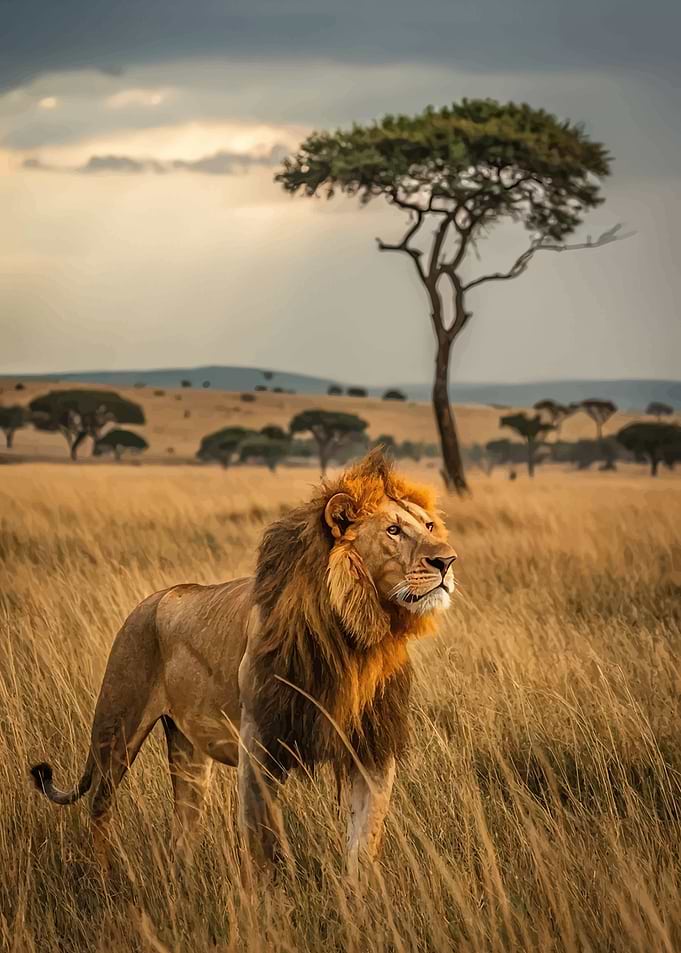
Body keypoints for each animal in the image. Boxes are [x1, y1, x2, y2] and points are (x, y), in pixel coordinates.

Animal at [30, 450, 457, 877]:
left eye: (429, 525)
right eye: (393, 531)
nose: (447, 561)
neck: (356, 637)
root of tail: (151, 600)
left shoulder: (372, 747)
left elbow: (364, 844)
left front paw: (357, 892)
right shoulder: (260, 743)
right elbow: (268, 847)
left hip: (187, 751)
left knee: (183, 830)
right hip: (117, 726)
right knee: (100, 803)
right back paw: (105, 875)